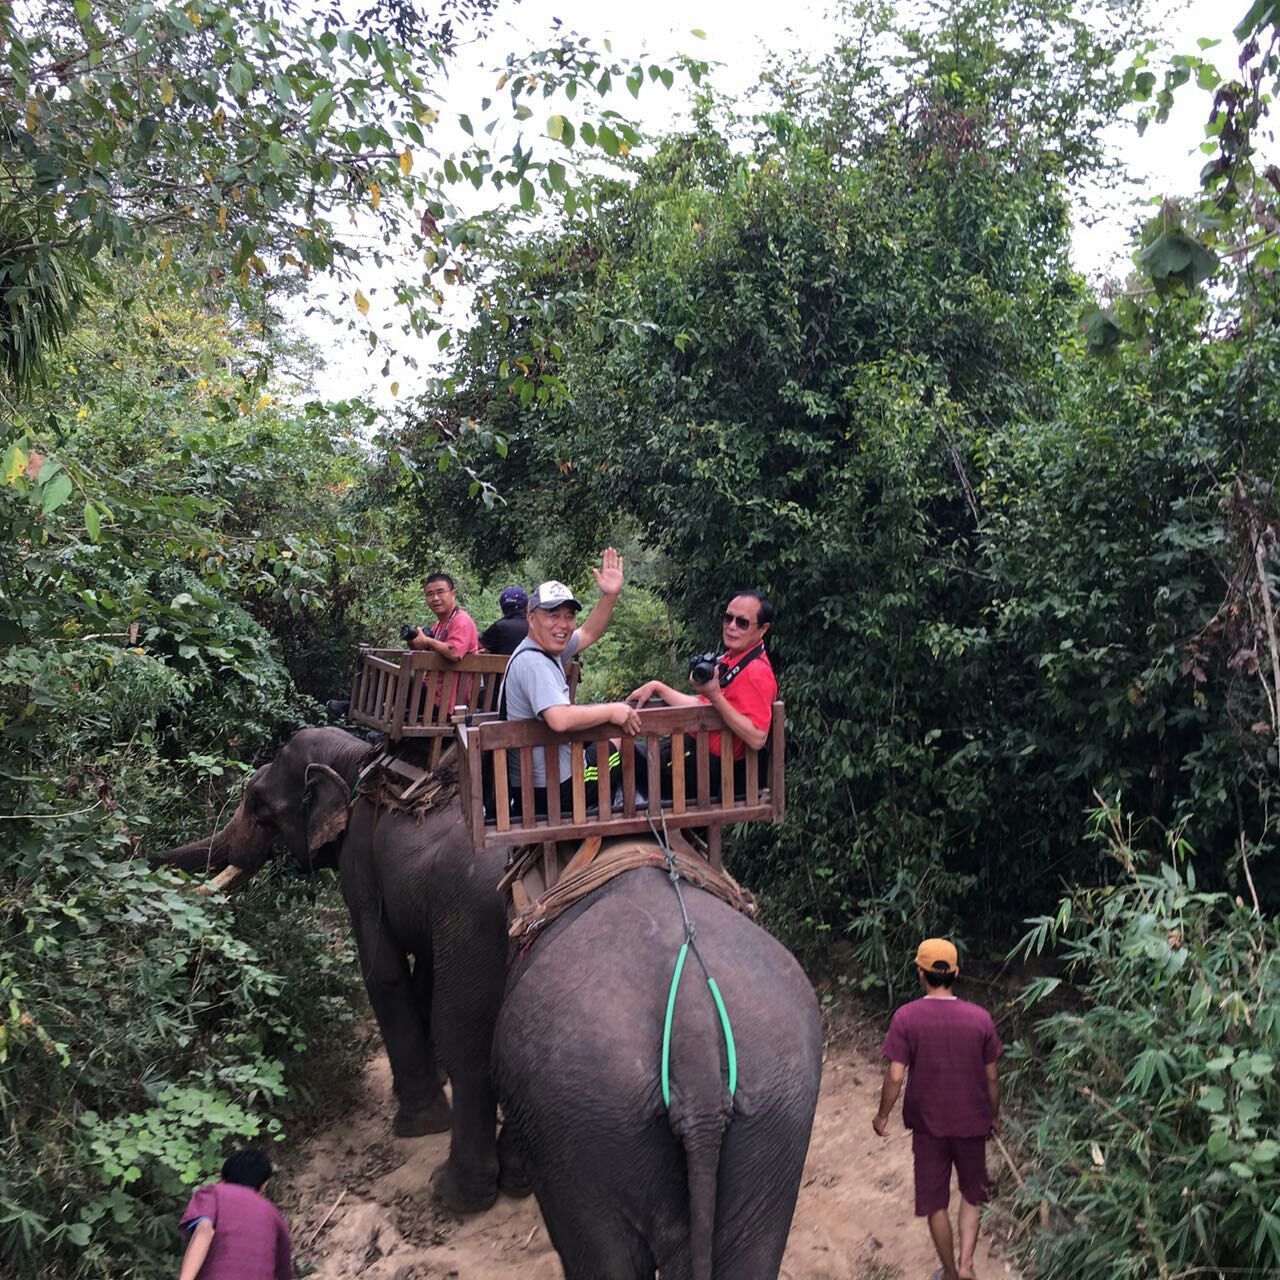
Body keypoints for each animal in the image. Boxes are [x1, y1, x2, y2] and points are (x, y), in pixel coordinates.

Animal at [157, 727, 517, 1213]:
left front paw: (416, 1124)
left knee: (468, 1041)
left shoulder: (361, 859)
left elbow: (383, 970)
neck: (359, 757)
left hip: (477, 921)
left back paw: (455, 1194)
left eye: (257, 804)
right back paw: (519, 1179)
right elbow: (422, 966)